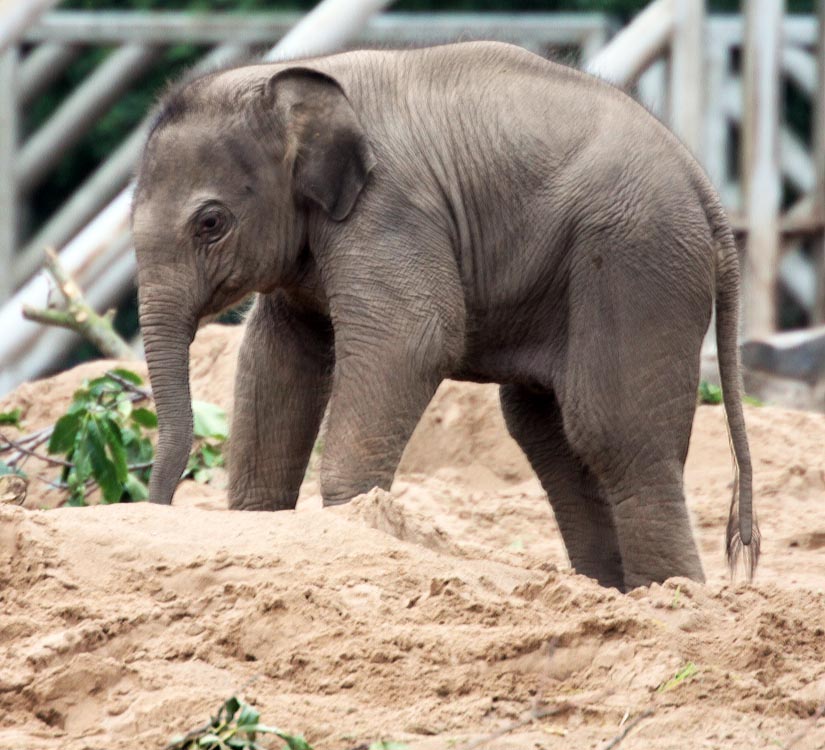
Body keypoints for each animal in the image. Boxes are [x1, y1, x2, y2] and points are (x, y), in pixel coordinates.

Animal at [131, 41, 758, 591]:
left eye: (211, 223)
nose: (158, 507)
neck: (286, 75)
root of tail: (703, 185)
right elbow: (276, 360)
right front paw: (260, 523)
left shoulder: (390, 208)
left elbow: (414, 337)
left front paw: (355, 519)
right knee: (548, 433)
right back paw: (610, 594)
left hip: (638, 258)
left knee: (614, 435)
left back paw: (674, 596)